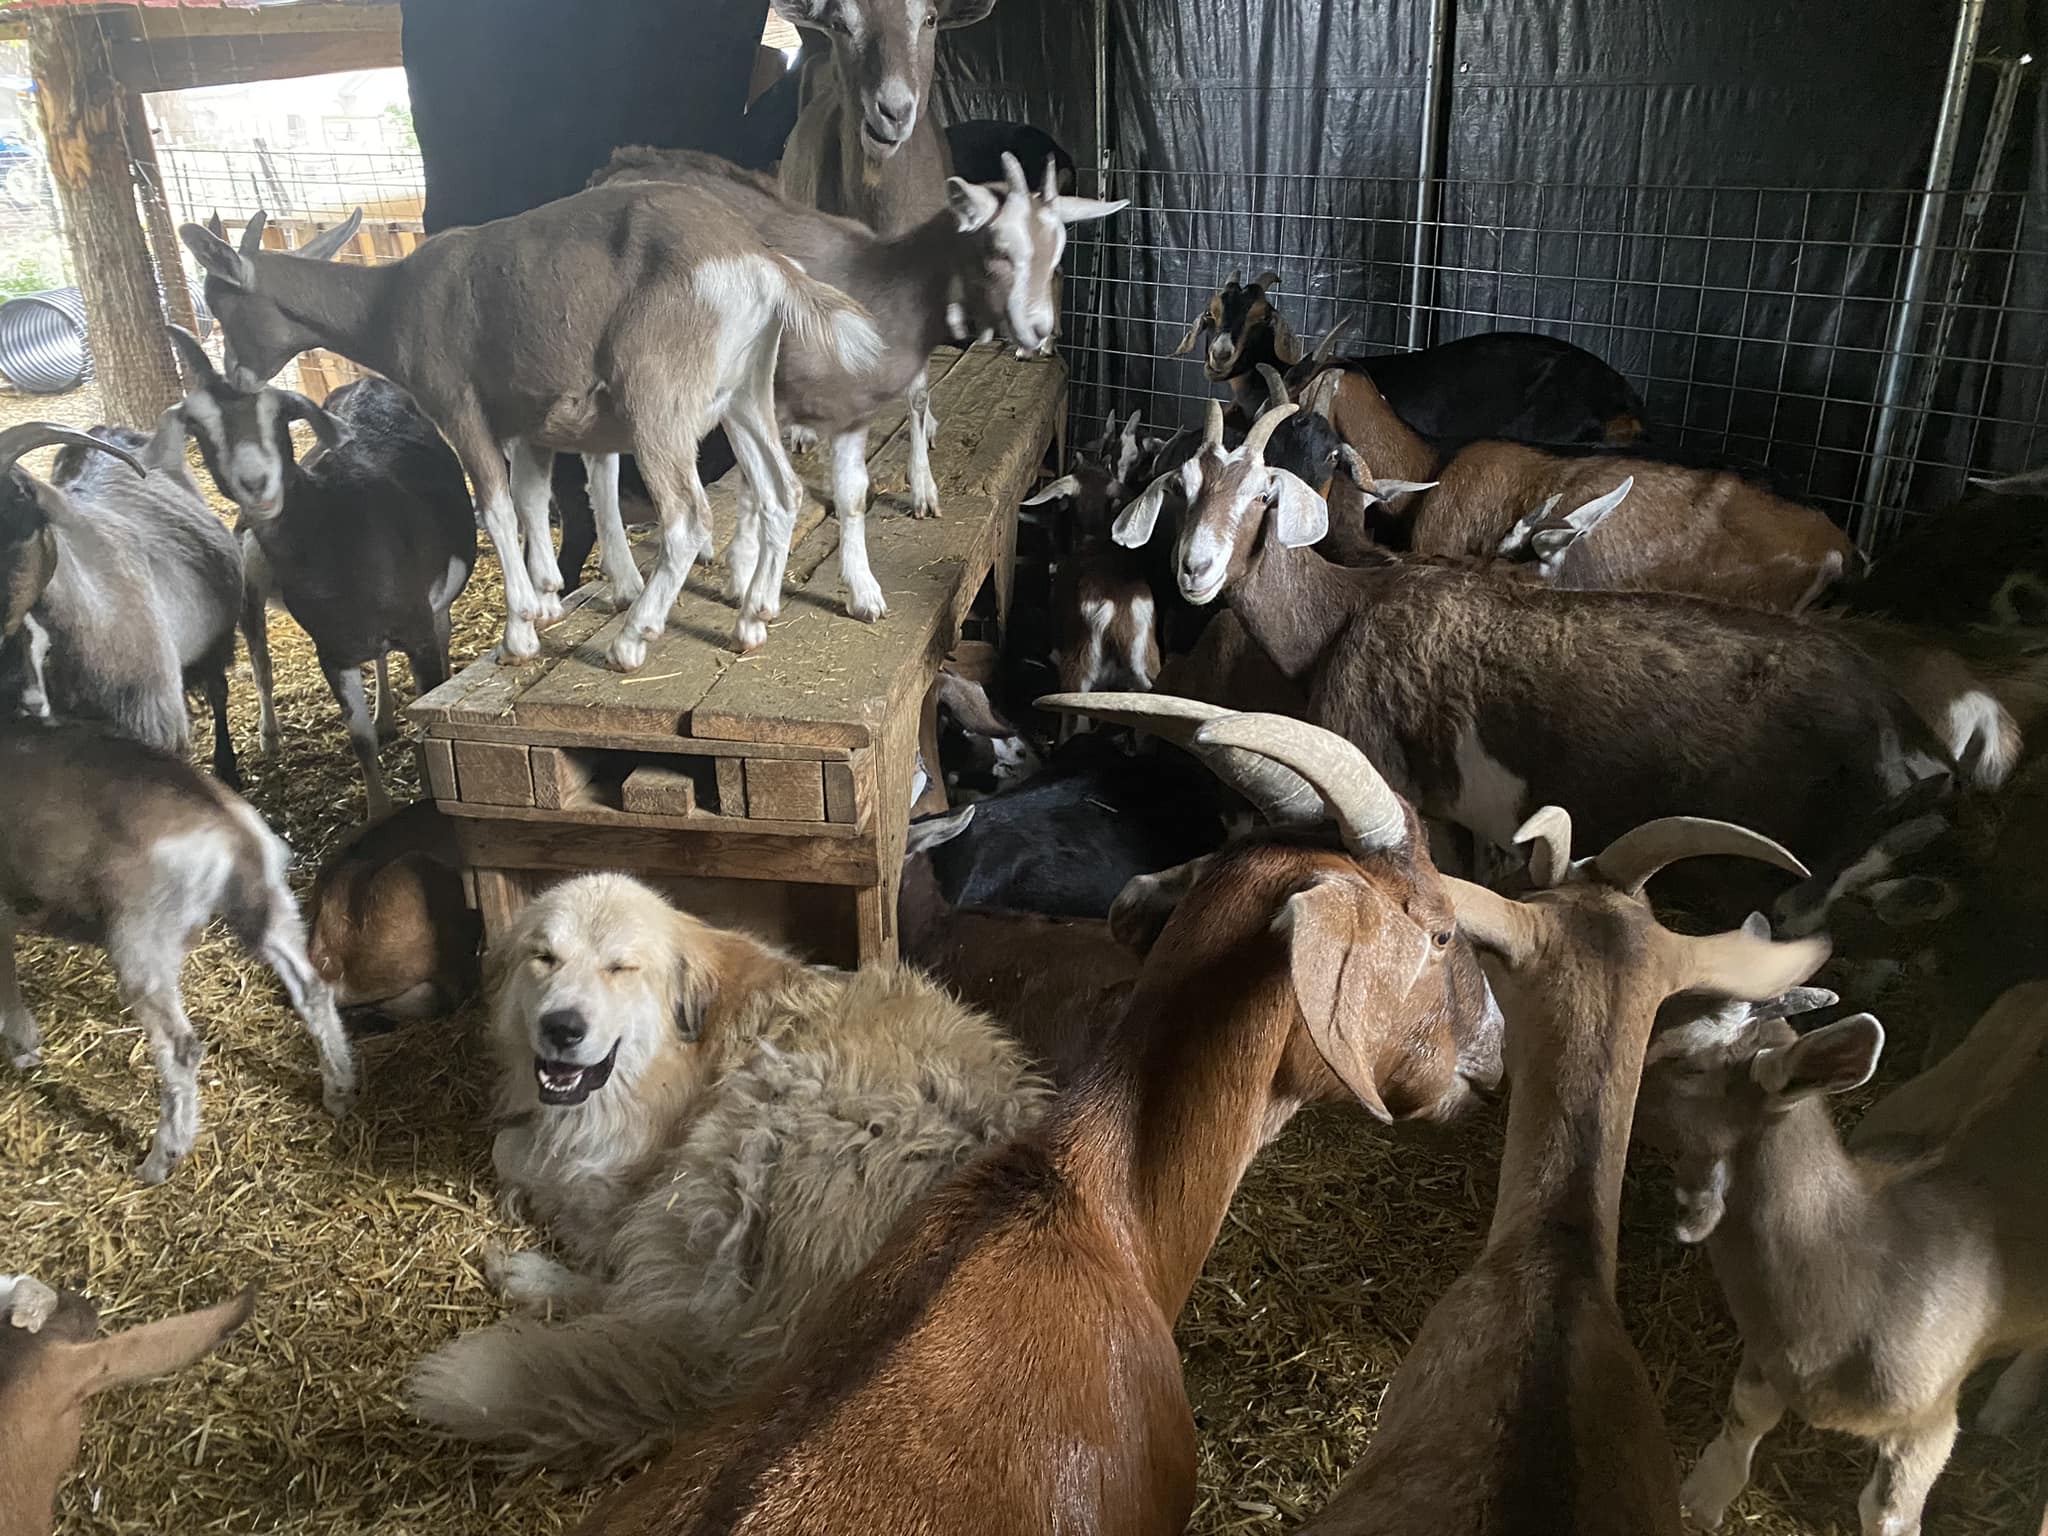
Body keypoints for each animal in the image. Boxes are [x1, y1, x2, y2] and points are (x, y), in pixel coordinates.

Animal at [167, 328, 476, 818]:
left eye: (278, 413)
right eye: (198, 426)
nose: (255, 483)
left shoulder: (418, 631)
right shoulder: (331, 651)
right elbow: (360, 740)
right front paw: (378, 812)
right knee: (269, 663)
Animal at [181, 194, 883, 672]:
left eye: (220, 302)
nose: (237, 376)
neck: (393, 301)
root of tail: (759, 263)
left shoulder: (460, 405)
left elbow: (495, 506)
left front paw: (519, 632)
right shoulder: (526, 417)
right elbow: (531, 497)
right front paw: (547, 598)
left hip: (655, 394)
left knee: (688, 515)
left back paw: (634, 640)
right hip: (745, 390)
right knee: (781, 491)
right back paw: (754, 618)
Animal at [585, 149, 1121, 649]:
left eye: (1057, 252)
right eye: (999, 250)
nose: (1040, 331)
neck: (882, 288)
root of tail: (612, 172)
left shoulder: (851, 416)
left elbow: (852, 495)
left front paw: (863, 592)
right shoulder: (766, 397)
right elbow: (756, 487)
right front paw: (744, 576)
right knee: (605, 462)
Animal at [1635, 979, 2048, 1535]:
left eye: (1687, 1062)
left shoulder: (1928, 1420)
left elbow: (1886, 1514)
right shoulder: (1769, 1350)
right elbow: (1746, 1413)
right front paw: (1701, 1499)